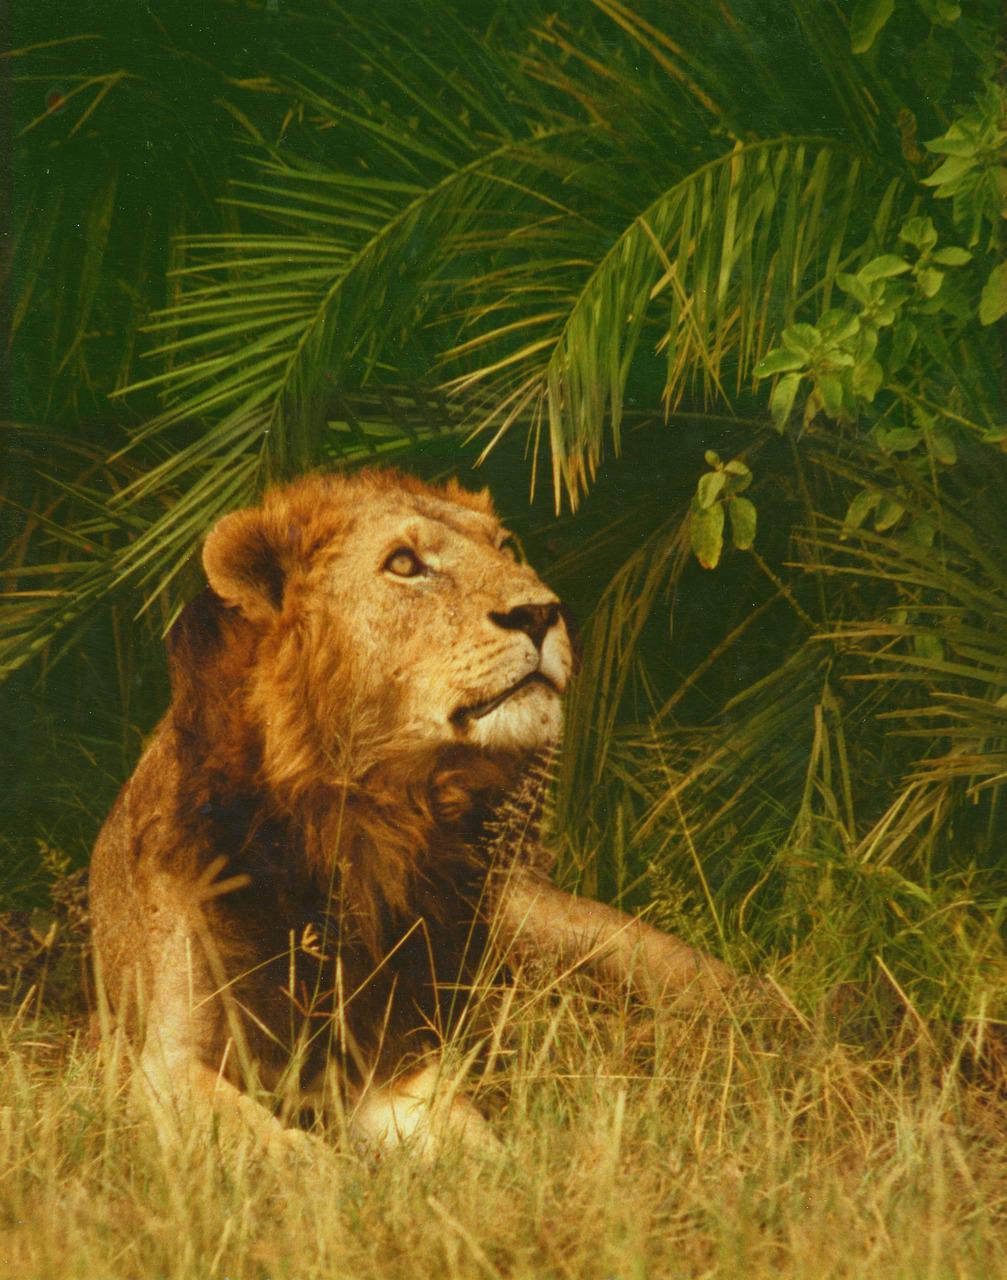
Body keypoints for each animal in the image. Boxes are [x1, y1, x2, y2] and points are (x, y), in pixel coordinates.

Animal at [88, 465, 731, 1157]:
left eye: (507, 548)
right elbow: (293, 1156)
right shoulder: (163, 1066)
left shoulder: (393, 1060)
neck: (363, 813)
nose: (541, 612)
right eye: (404, 563)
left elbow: (476, 1144)